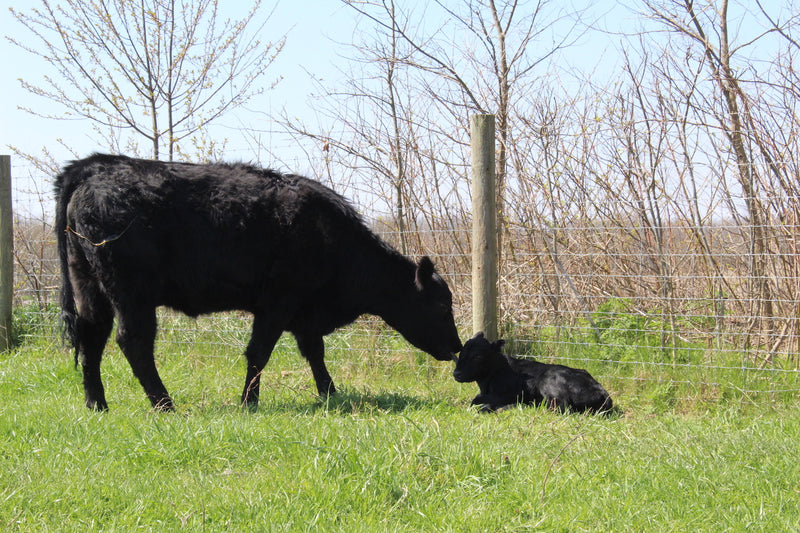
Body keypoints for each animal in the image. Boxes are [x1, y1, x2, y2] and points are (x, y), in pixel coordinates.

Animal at [56, 154, 462, 412]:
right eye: (443, 306)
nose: (457, 348)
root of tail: (95, 167)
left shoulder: (302, 313)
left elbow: (314, 352)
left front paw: (330, 393)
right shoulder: (278, 302)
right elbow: (259, 352)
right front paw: (248, 401)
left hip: (89, 285)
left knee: (92, 338)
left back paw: (97, 404)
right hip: (131, 293)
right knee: (133, 342)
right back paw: (165, 404)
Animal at [454, 330, 616, 414]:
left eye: (478, 356)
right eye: (461, 352)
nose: (456, 373)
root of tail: (603, 393)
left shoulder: (514, 393)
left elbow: (478, 401)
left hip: (549, 380)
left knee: (560, 407)